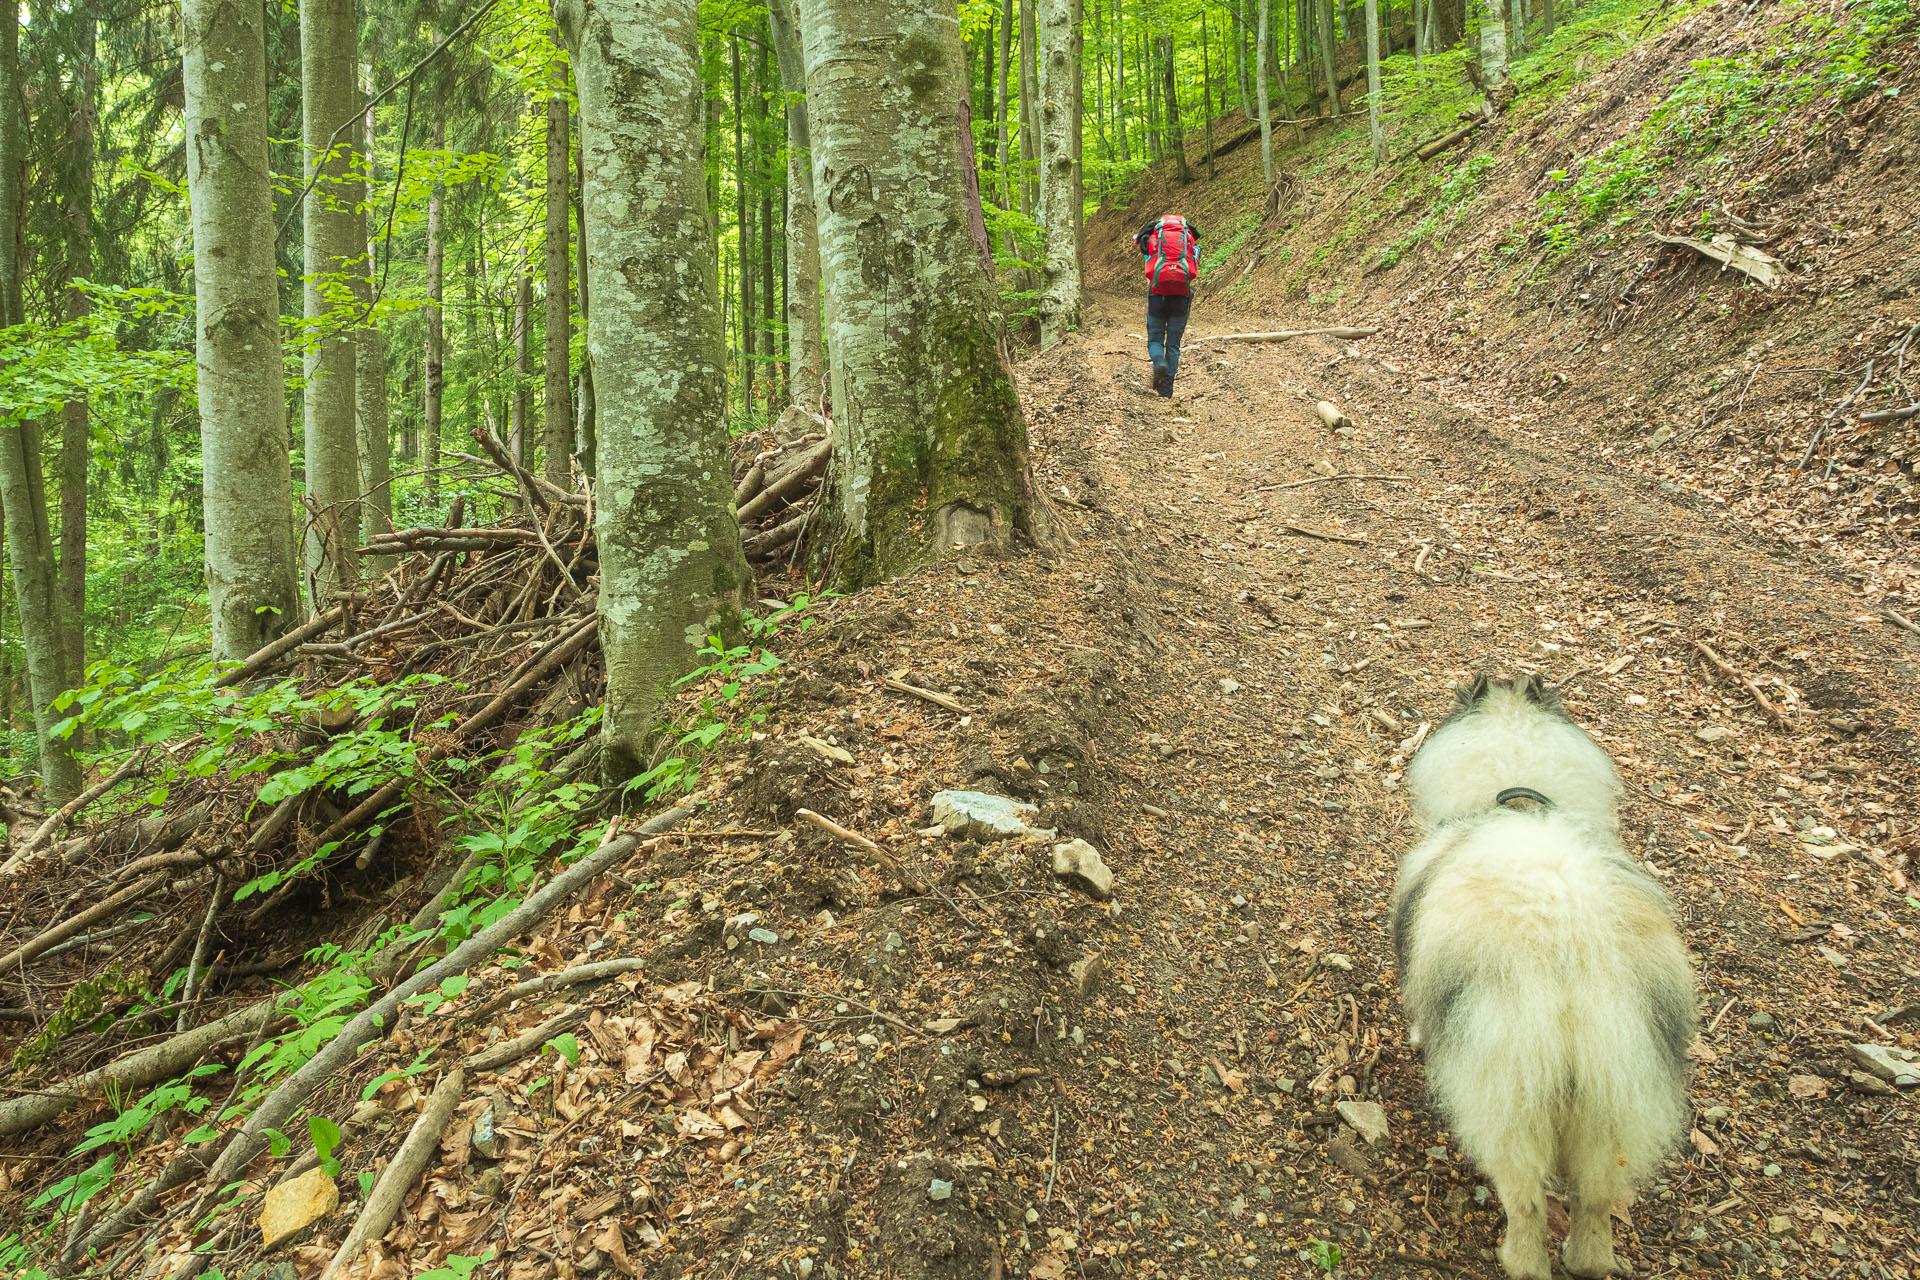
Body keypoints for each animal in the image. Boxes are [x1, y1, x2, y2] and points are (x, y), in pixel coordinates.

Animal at [1397, 675, 1697, 1274]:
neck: (1518, 787)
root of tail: (1570, 977)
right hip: (1613, 1105)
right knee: (1595, 1201)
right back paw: (1587, 1260)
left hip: (1509, 1105)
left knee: (1527, 1200)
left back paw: (1519, 1260)